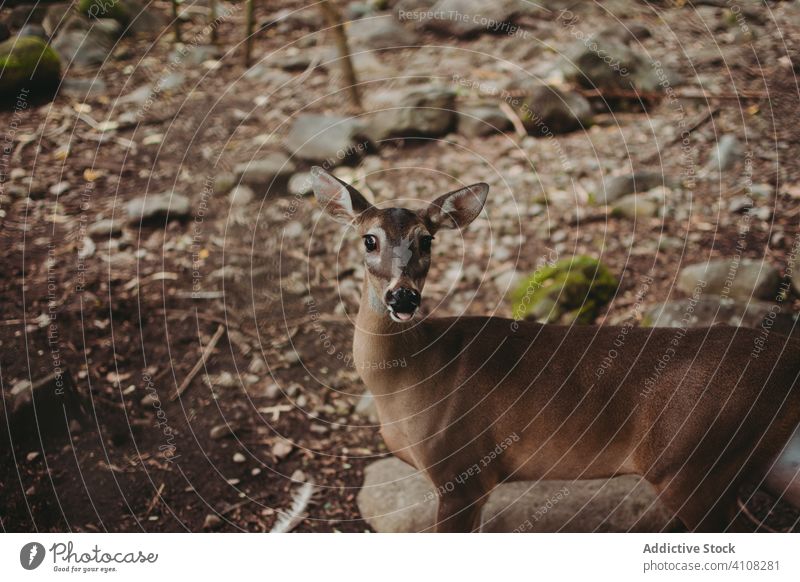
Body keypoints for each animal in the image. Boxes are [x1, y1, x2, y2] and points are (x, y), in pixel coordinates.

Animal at [310, 168, 800, 532]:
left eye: (426, 239)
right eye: (369, 239)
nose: (403, 297)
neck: (408, 378)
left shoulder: (462, 471)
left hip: (692, 461)